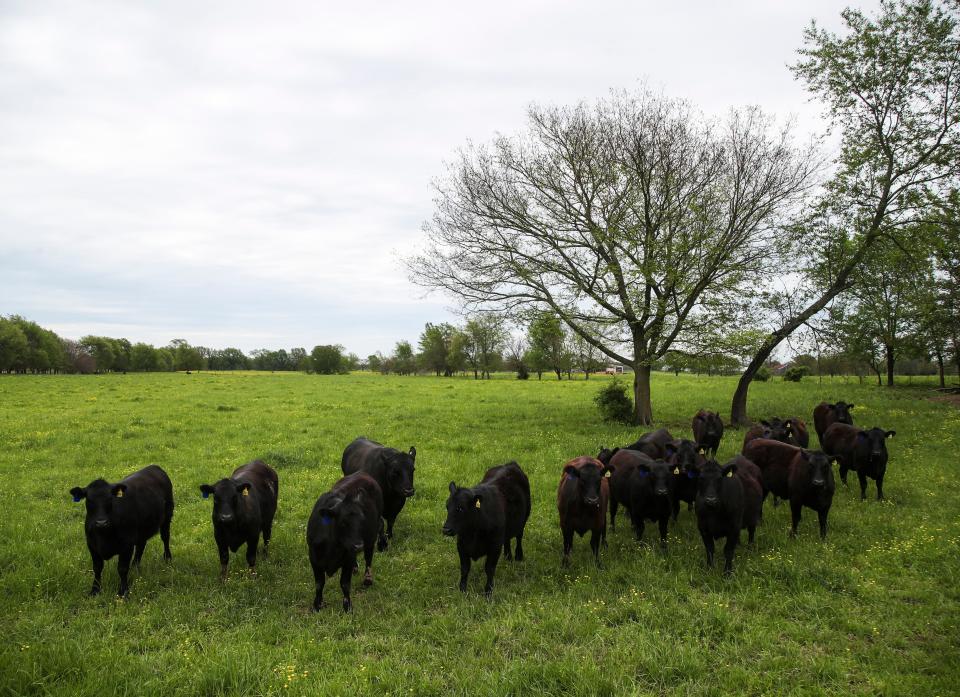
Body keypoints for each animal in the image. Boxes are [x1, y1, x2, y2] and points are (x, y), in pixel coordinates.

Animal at [70, 464, 174, 596]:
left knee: (165, 537)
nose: (101, 522)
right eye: (89, 500)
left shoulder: (127, 545)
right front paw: (95, 590)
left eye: (110, 499)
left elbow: (122, 569)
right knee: (141, 545)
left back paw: (167, 558)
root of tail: (155, 467)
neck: (104, 535)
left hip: (167, 516)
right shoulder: (91, 545)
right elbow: (97, 568)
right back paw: (135, 566)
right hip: (141, 529)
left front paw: (123, 592)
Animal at [306, 470, 384, 612]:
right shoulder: (314, 557)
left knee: (368, 558)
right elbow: (319, 583)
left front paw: (347, 607)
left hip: (371, 537)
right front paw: (317, 605)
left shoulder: (348, 558)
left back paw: (367, 579)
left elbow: (345, 584)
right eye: (343, 522)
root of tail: (362, 473)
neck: (332, 547)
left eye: (362, 521)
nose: (358, 545)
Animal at [442, 460, 532, 596]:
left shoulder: (495, 547)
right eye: (447, 506)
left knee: (519, 536)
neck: (473, 533)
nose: (446, 529)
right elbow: (465, 568)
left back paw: (518, 556)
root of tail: (511, 464)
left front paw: (488, 592)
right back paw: (508, 556)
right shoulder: (462, 546)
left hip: (523, 519)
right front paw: (462, 590)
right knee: (507, 539)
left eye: (461, 508)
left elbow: (489, 569)